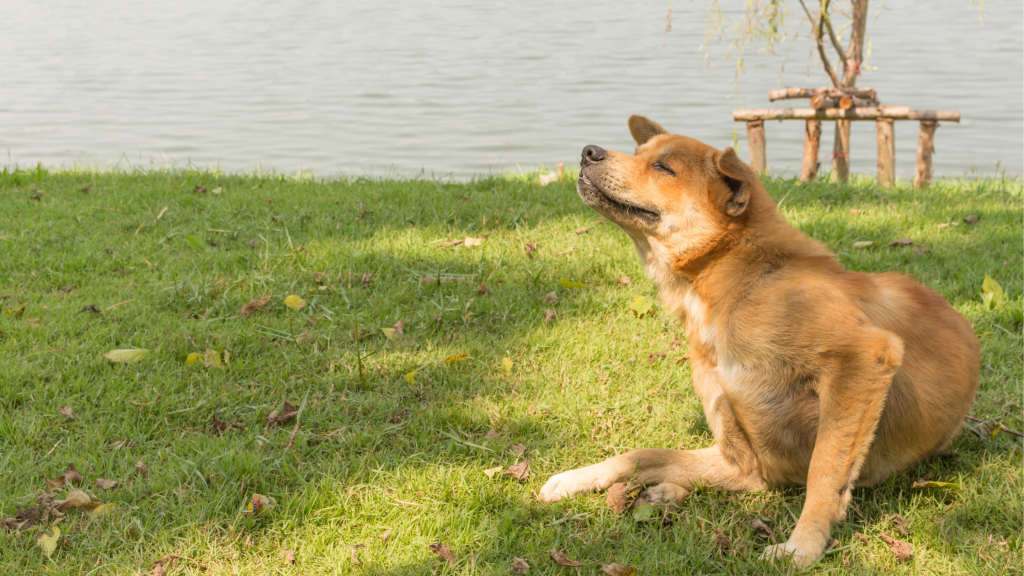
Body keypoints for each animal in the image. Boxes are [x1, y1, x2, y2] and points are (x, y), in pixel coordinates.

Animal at [536, 115, 974, 565]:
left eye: (663, 167)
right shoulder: (747, 458)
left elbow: (825, 469)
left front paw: (803, 546)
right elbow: (642, 453)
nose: (588, 151)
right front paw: (579, 477)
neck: (732, 279)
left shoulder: (866, 356)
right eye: (640, 154)